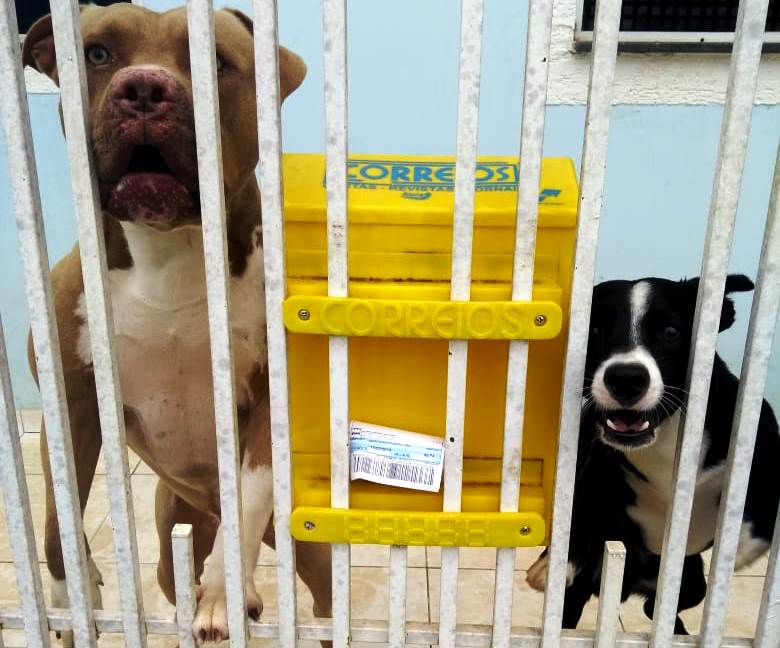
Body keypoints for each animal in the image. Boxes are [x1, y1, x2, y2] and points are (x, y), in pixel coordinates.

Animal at [23, 4, 332, 644]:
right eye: (96, 53)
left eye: (216, 60)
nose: (144, 88)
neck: (168, 252)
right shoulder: (71, 404)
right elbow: (58, 517)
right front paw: (72, 598)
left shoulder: (269, 404)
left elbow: (247, 498)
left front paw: (220, 595)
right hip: (170, 541)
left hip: (306, 548)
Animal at [527, 274, 779, 634]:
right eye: (595, 329)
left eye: (671, 332)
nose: (626, 379)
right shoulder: (590, 464)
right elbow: (580, 508)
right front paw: (553, 560)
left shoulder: (759, 429)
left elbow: (766, 475)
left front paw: (744, 544)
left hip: (690, 583)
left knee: (658, 607)